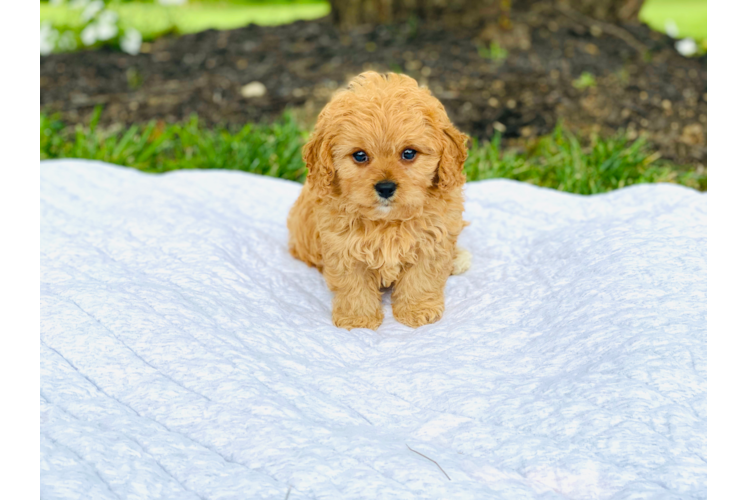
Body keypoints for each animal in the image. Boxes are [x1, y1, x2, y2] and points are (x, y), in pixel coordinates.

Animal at [288, 70, 470, 328]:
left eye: (409, 153)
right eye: (360, 155)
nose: (385, 187)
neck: (388, 222)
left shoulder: (433, 240)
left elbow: (421, 279)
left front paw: (417, 310)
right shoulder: (342, 247)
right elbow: (354, 285)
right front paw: (358, 319)